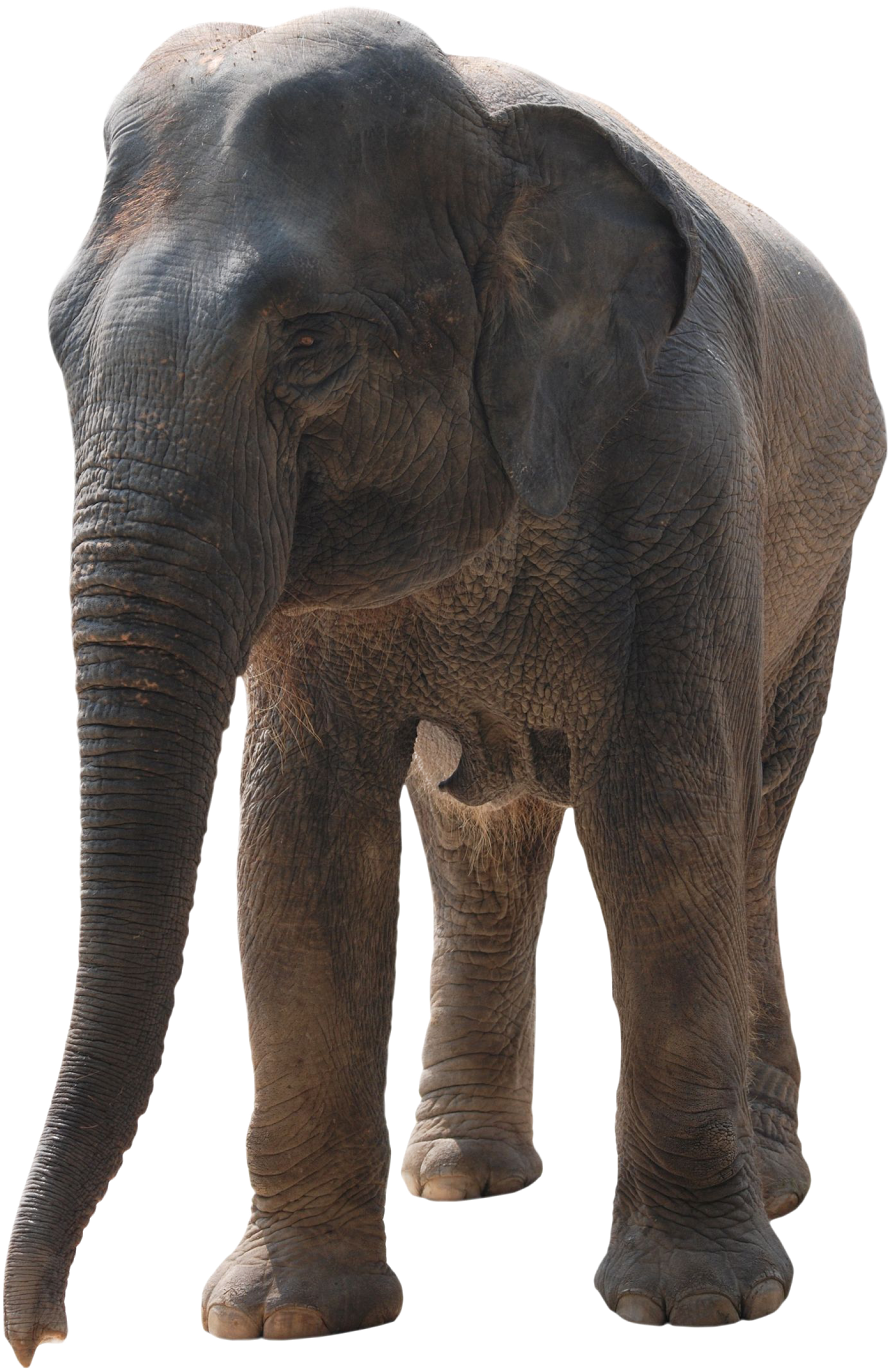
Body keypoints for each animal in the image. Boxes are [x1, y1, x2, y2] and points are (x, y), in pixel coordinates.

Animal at [4, 7, 885, 1357]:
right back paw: (466, 1175)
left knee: (746, 829)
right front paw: (284, 1314)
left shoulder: (679, 472)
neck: (488, 134)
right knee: (484, 836)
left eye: (312, 344)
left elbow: (664, 813)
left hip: (819, 563)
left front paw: (697, 1303)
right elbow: (301, 846)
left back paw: (771, 1181)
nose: (43, 1332)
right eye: (59, 343)